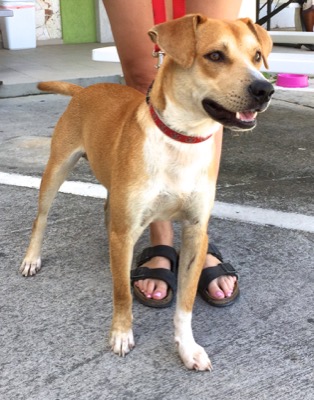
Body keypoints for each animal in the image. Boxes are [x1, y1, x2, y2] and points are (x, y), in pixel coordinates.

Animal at [20, 16, 274, 372]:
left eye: (256, 56)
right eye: (214, 56)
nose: (265, 89)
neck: (181, 139)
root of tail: (85, 90)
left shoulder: (196, 231)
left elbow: (185, 303)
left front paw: (187, 347)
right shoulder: (127, 228)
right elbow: (122, 294)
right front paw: (121, 333)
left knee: (107, 212)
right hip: (56, 170)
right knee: (41, 219)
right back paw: (32, 258)